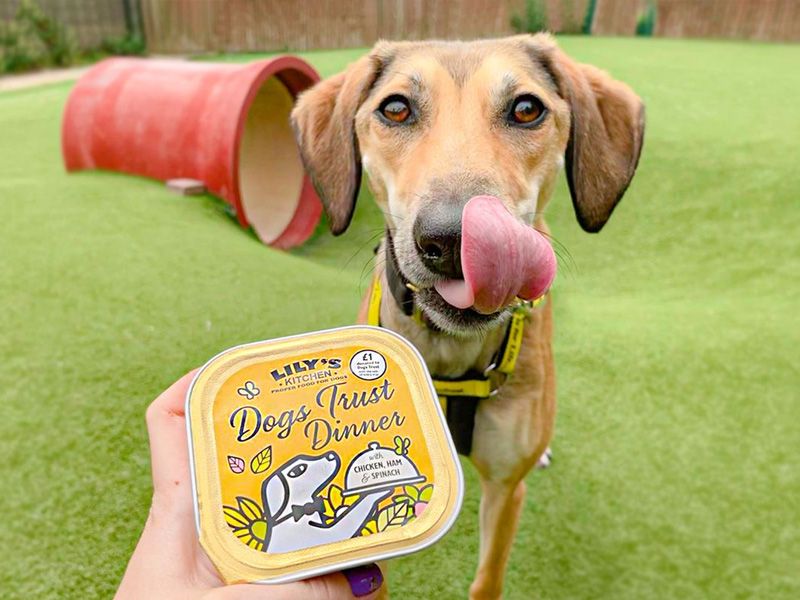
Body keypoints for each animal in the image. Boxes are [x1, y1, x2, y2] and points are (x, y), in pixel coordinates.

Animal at [292, 34, 644, 600]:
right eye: (396, 108)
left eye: (526, 108)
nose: (452, 240)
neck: (450, 356)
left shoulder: (506, 490)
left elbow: (487, 579)